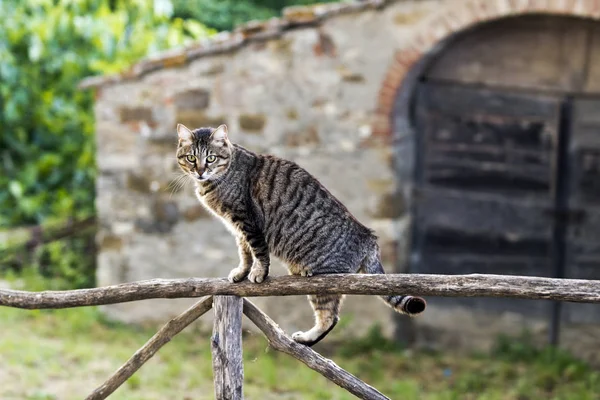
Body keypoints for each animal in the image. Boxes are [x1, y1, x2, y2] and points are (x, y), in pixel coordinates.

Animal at [175, 123, 426, 346]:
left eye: (210, 158)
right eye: (191, 158)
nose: (200, 171)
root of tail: (368, 237)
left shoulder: (247, 221)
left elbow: (258, 252)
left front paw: (257, 274)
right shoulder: (238, 228)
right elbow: (244, 253)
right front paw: (241, 273)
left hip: (325, 282)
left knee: (330, 318)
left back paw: (306, 337)